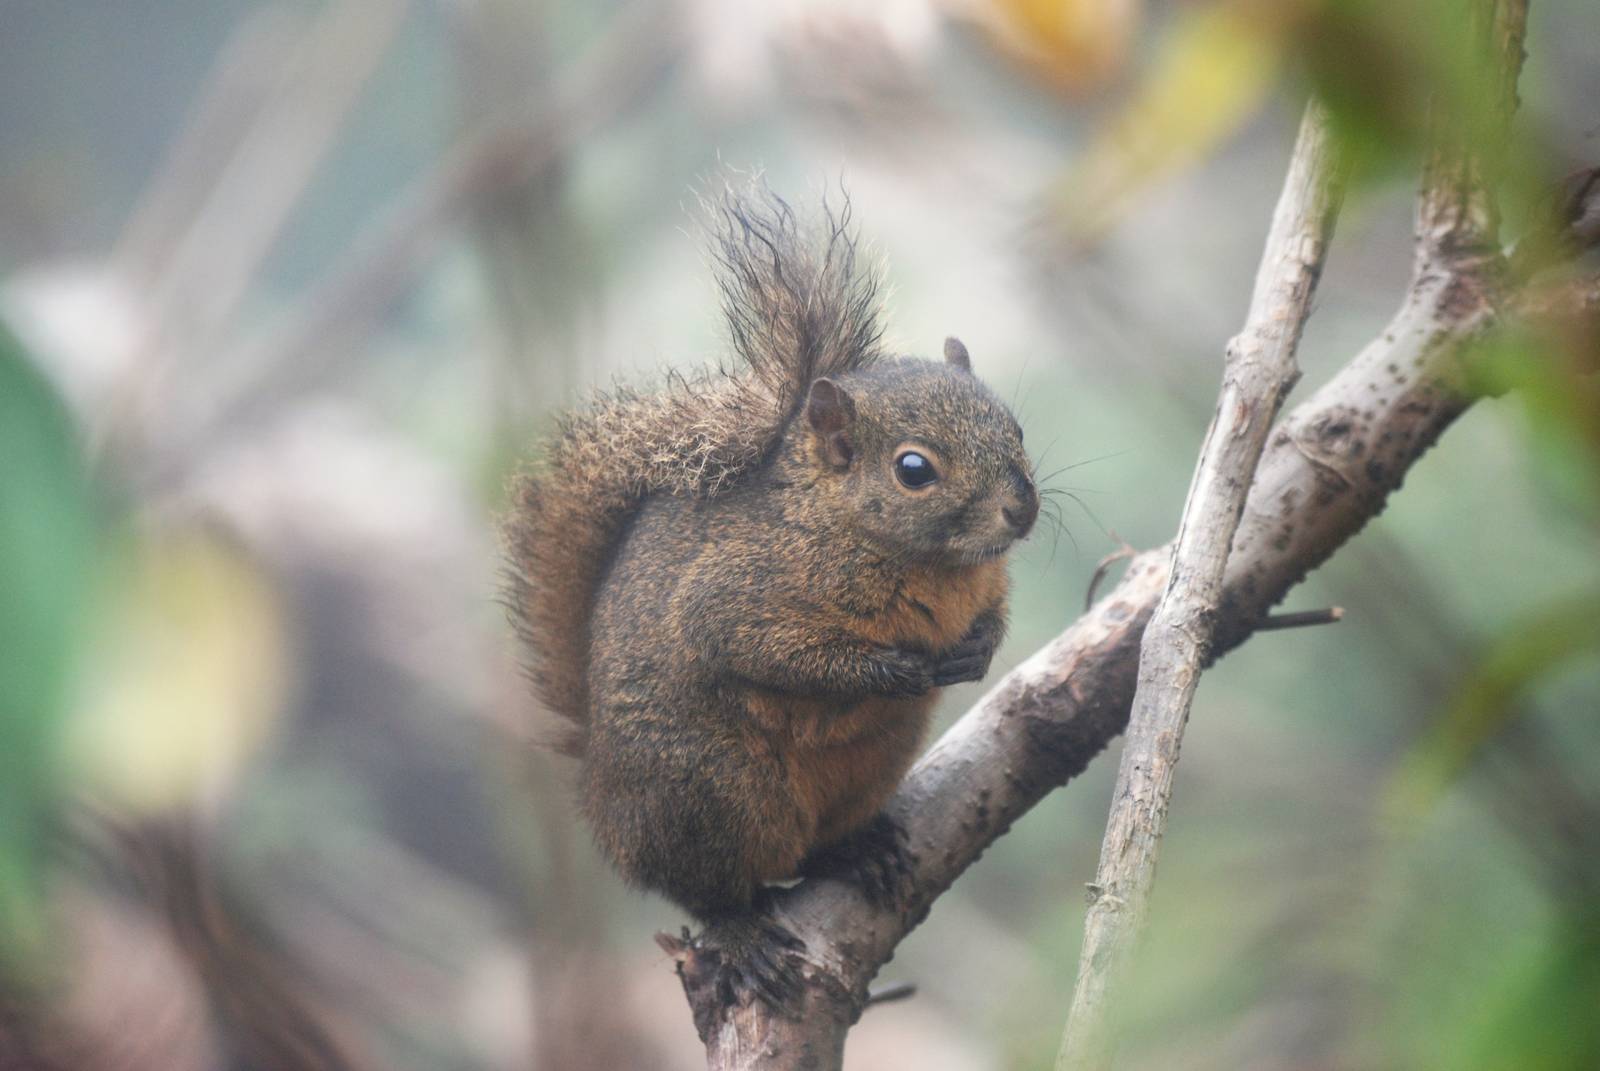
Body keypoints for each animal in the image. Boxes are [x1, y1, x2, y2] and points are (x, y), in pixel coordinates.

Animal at [503, 187, 1037, 1012]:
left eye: (1014, 427)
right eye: (914, 468)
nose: (1023, 510)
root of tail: (599, 798)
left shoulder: (989, 580)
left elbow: (993, 617)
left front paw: (976, 649)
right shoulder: (738, 589)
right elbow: (755, 644)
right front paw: (891, 670)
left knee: (814, 853)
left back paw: (858, 849)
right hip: (713, 793)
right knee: (708, 891)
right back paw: (740, 932)